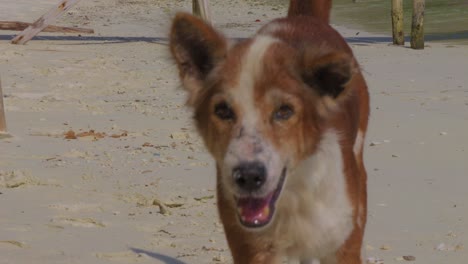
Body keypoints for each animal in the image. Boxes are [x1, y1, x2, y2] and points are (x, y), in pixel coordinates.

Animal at [168, 1, 370, 262]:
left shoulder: (343, 247)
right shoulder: (253, 250)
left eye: (284, 111)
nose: (249, 177)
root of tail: (302, 19)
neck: (293, 196)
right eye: (222, 111)